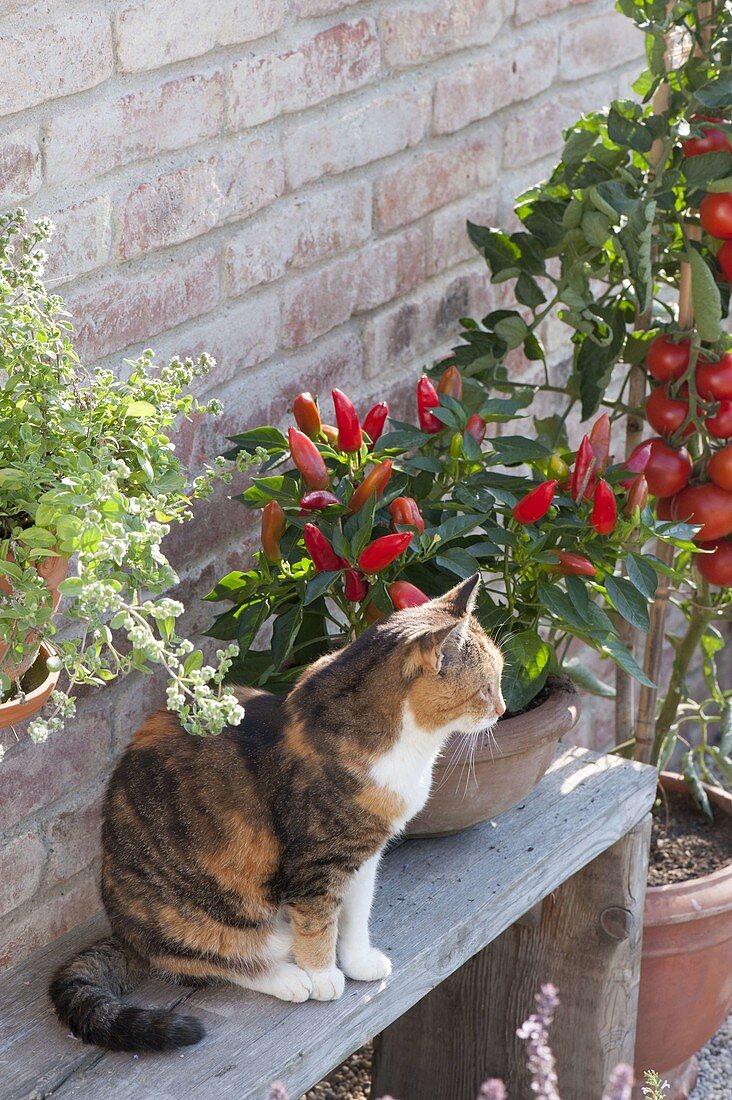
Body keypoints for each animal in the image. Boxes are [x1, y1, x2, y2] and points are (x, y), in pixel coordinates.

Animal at [50, 572, 501, 1051]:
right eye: (486, 687)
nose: (503, 708)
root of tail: (122, 932)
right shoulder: (316, 864)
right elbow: (319, 921)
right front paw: (323, 975)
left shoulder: (364, 854)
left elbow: (357, 912)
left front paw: (359, 961)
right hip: (199, 916)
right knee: (209, 960)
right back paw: (288, 979)